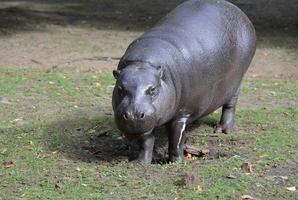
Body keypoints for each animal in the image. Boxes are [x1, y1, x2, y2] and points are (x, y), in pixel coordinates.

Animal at [112, 0, 256, 163]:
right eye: (120, 89)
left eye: (153, 89)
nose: (133, 115)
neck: (143, 64)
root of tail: (237, 10)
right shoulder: (148, 119)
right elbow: (146, 141)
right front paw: (141, 162)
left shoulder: (182, 114)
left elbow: (176, 140)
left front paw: (177, 162)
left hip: (237, 81)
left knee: (230, 104)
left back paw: (222, 129)